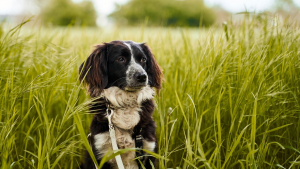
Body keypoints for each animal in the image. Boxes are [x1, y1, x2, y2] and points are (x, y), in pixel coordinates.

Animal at [79, 40, 162, 168]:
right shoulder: (99, 151)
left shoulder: (148, 151)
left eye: (143, 59)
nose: (143, 76)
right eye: (120, 59)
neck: (126, 104)